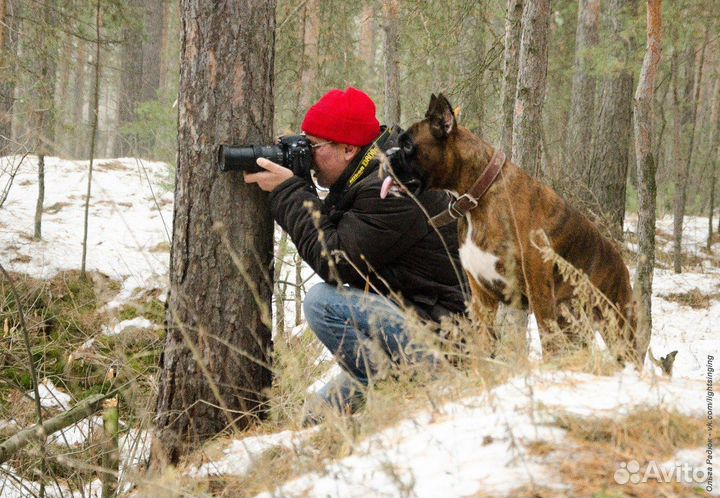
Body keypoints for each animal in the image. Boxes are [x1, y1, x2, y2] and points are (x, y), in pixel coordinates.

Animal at [382, 93, 640, 362]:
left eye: (408, 145)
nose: (387, 153)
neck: (477, 197)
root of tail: (621, 263)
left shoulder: (540, 296)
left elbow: (548, 344)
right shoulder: (482, 298)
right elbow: (484, 343)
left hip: (619, 330)